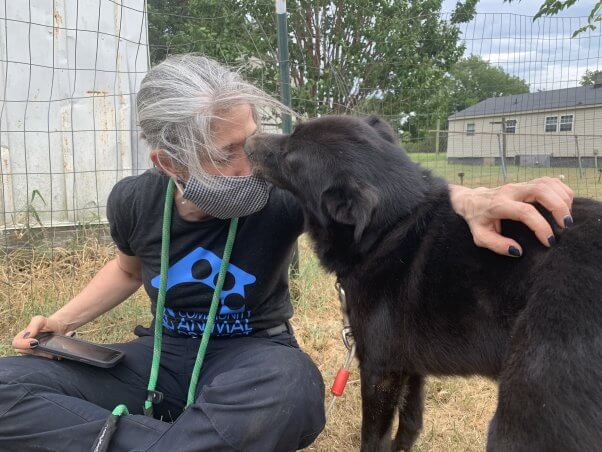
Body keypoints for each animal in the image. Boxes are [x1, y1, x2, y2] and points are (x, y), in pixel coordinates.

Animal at [245, 116, 600, 452]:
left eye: (291, 156)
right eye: (294, 131)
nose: (248, 140)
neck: (392, 228)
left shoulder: (379, 370)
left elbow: (373, 438)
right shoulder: (409, 366)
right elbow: (410, 424)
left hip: (526, 412)